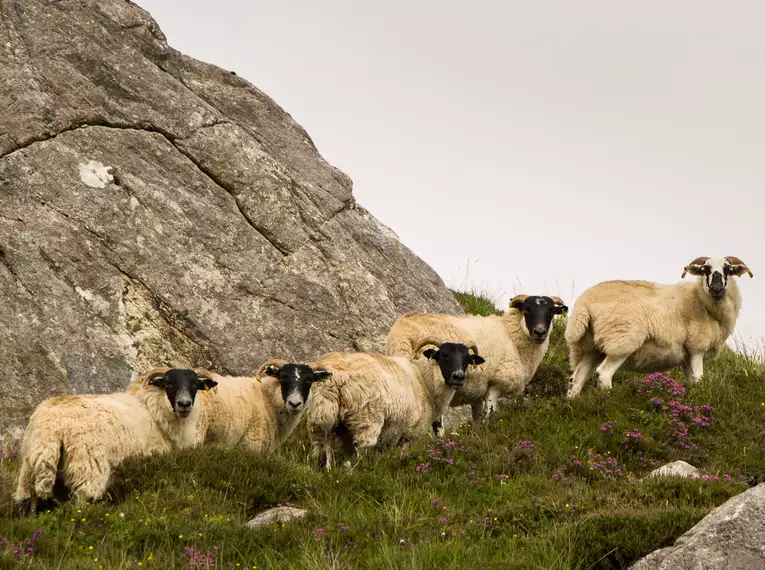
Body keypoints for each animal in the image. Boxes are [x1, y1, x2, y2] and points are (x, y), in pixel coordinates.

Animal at [13, 368, 216, 506]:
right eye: (169, 384)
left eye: (194, 385)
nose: (184, 404)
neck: (150, 408)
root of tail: (53, 427)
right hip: (87, 469)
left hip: (30, 469)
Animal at [304, 340, 484, 468]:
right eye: (444, 356)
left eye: (467, 360)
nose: (458, 377)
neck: (424, 380)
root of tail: (334, 373)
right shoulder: (409, 432)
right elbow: (403, 453)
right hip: (366, 419)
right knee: (359, 450)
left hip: (320, 414)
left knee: (323, 450)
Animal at [382, 292, 568, 430]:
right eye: (527, 310)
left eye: (551, 312)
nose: (540, 332)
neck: (510, 335)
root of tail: (403, 335)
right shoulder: (496, 383)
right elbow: (489, 416)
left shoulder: (477, 392)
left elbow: (478, 420)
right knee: (437, 423)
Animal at [568, 255, 752, 398]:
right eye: (705, 270)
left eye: (728, 269)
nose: (716, 288)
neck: (701, 300)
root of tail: (584, 304)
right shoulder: (697, 348)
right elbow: (700, 379)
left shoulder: (686, 356)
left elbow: (691, 382)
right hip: (621, 341)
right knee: (604, 373)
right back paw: (608, 399)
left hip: (588, 348)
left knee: (575, 380)